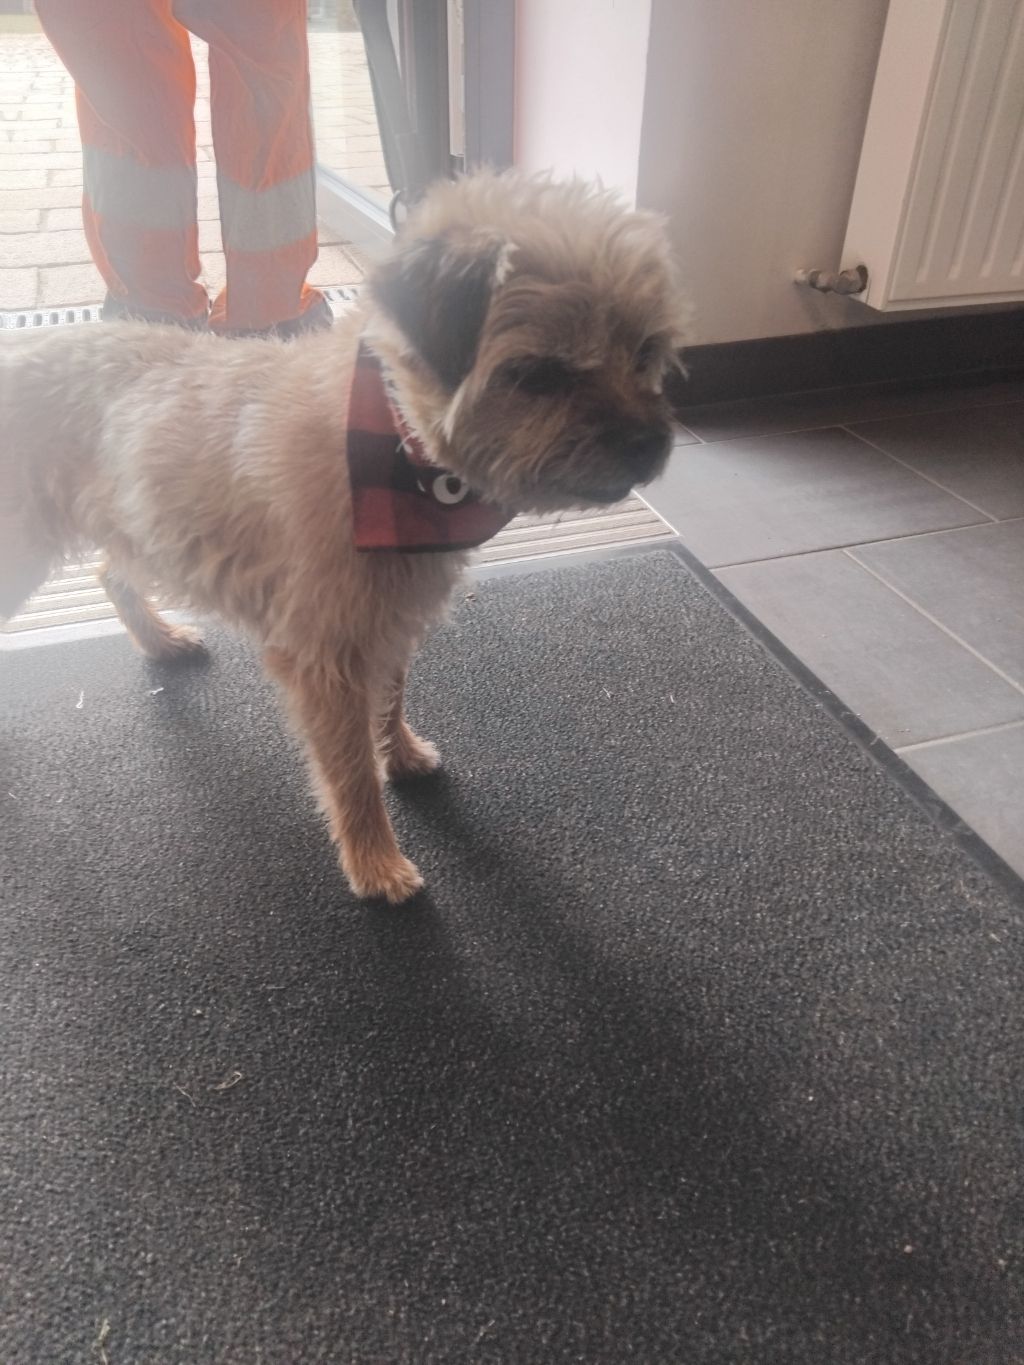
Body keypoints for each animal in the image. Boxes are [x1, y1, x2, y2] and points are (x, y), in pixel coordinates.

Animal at [1, 171, 692, 903]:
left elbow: (388, 702)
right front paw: (374, 860)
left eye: (646, 351)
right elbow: (350, 770)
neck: (395, 440)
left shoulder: (387, 621)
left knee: (111, 571)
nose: (650, 444)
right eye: (537, 374)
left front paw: (403, 753)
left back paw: (160, 639)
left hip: (136, 524)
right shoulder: (325, 656)